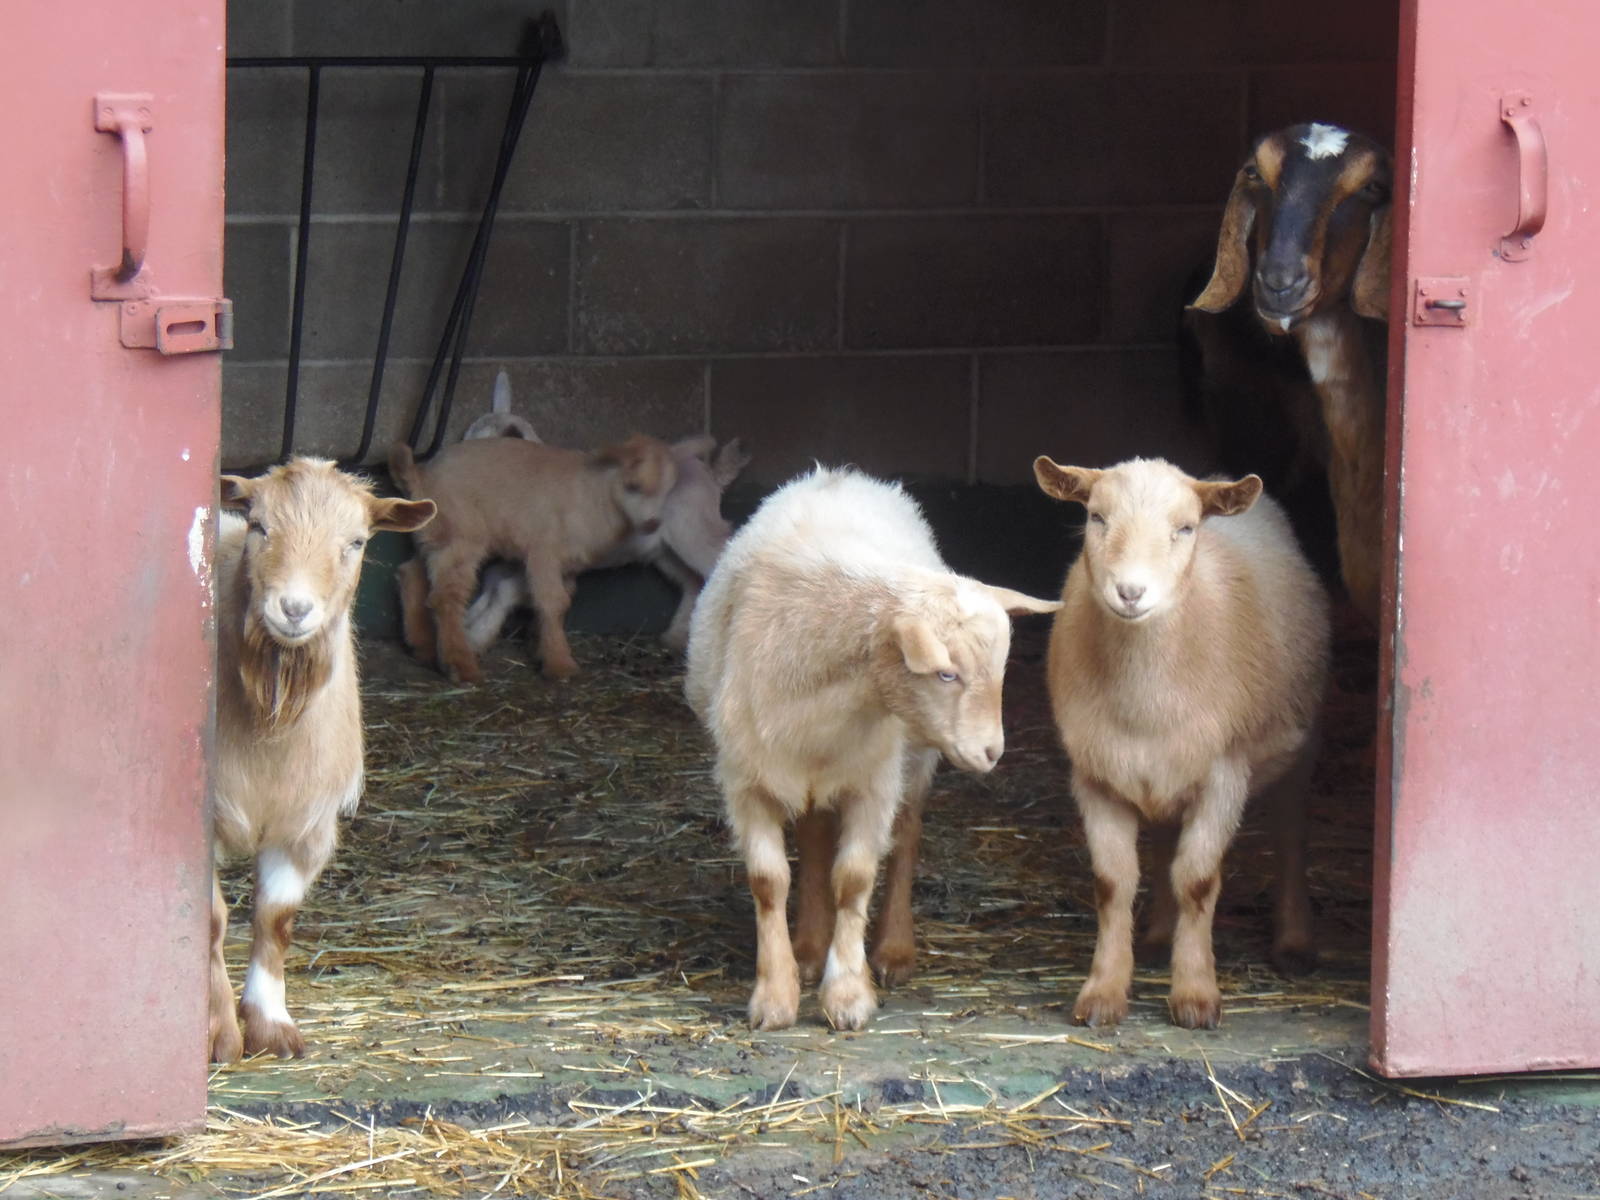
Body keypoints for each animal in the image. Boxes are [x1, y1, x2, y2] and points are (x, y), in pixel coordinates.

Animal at [210, 458, 435, 1061]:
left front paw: (269, 1026)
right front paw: (219, 1034)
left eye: (356, 541)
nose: (293, 609)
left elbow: (275, 920)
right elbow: (212, 919)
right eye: (259, 525)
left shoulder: (305, 823)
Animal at [389, 433, 677, 683]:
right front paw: (560, 665)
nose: (653, 523)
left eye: (667, 491)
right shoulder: (543, 551)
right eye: (633, 486)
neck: (592, 495)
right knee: (445, 598)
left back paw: (423, 647)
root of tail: (420, 475)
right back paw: (461, 666)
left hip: (436, 536)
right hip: (461, 537)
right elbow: (552, 602)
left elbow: (557, 599)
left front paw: (543, 647)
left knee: (411, 574)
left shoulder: (567, 565)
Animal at [686, 467, 1058, 1031]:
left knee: (904, 839)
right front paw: (775, 997)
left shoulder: (874, 782)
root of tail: (845, 475)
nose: (991, 752)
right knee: (816, 839)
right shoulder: (747, 781)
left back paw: (893, 950)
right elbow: (770, 881)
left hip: (913, 758)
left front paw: (848, 996)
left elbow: (855, 878)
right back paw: (809, 947)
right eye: (945, 674)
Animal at [1034, 456, 1329, 1030]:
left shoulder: (1223, 775)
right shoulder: (1096, 774)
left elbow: (1197, 881)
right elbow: (1112, 881)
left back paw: (1294, 942)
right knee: (1165, 841)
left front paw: (1195, 995)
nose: (1130, 592)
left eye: (1186, 528)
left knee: (1291, 836)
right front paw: (1103, 992)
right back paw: (1155, 937)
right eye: (1096, 517)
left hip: (1300, 744)